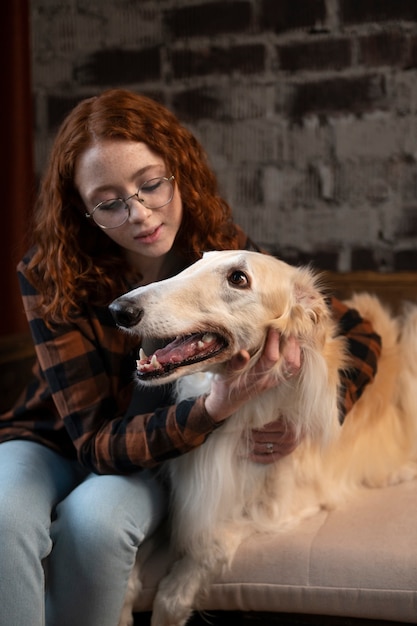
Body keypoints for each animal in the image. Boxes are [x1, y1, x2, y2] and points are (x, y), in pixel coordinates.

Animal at [109, 249, 416, 624]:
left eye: (238, 278)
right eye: (197, 262)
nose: (119, 310)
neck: (246, 405)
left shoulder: (282, 507)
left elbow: (200, 559)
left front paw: (172, 597)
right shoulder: (184, 500)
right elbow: (131, 571)